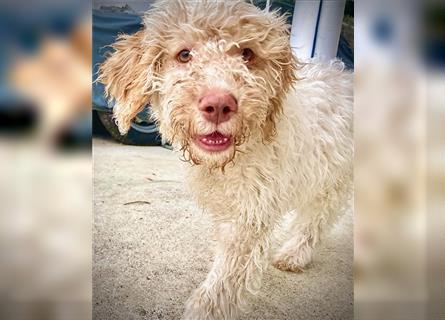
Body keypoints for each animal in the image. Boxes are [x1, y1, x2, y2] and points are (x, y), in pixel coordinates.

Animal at [99, 1, 352, 318]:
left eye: (247, 54)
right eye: (184, 54)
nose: (219, 105)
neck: (228, 161)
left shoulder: (249, 215)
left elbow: (226, 277)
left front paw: (203, 310)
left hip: (334, 183)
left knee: (316, 220)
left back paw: (295, 254)